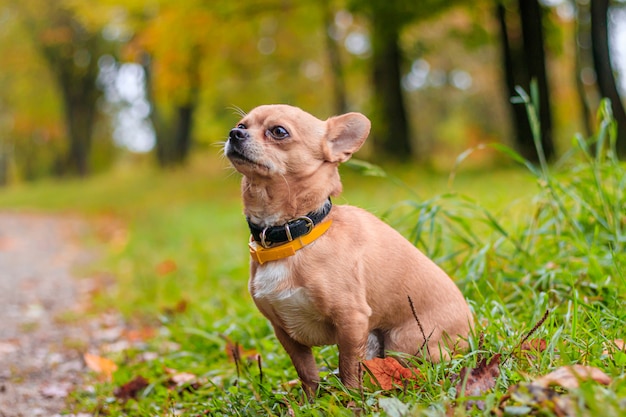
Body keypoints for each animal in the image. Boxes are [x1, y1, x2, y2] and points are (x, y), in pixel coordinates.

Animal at [223, 105, 468, 396]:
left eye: (278, 131)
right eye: (242, 125)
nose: (234, 133)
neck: (291, 238)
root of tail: (473, 327)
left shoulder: (351, 321)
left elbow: (349, 367)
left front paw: (350, 399)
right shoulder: (284, 331)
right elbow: (307, 372)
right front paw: (311, 401)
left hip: (405, 341)